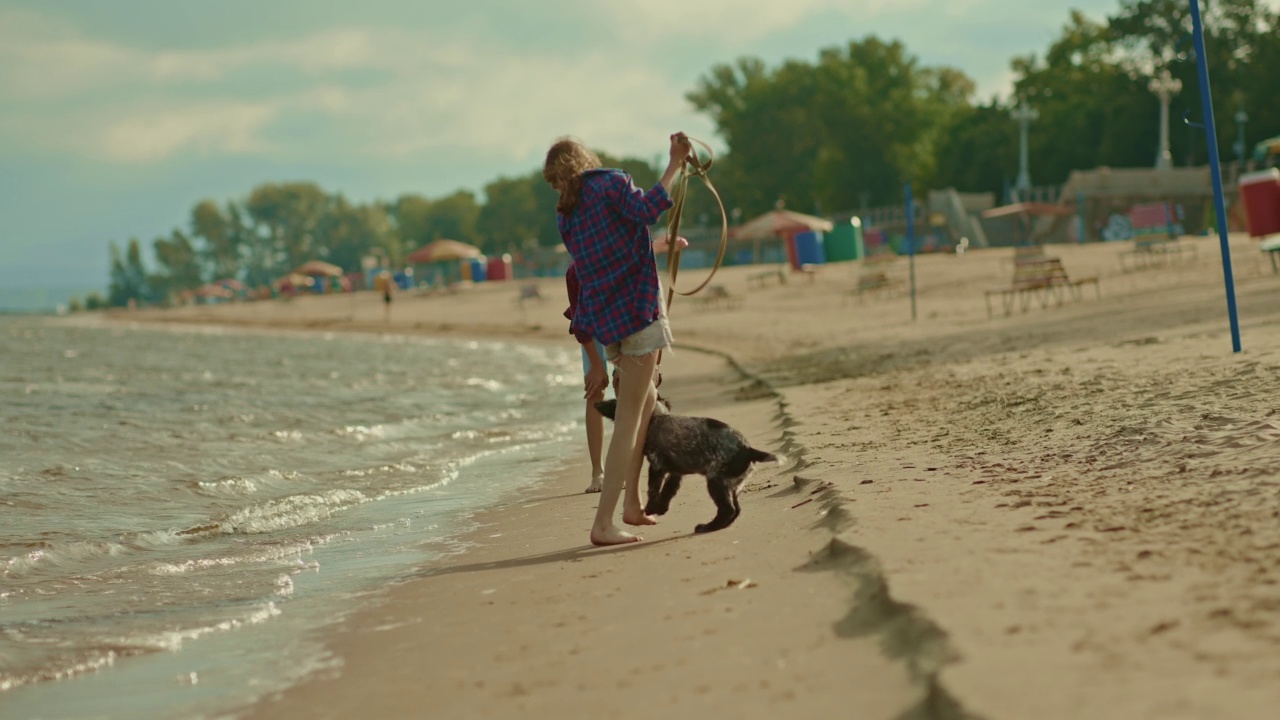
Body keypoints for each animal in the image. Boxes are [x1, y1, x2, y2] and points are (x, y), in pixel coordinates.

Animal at [593, 394, 773, 530]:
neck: (657, 417)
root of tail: (747, 449)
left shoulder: (656, 465)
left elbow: (653, 489)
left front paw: (651, 508)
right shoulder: (676, 472)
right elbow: (668, 490)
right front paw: (661, 508)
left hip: (716, 481)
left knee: (727, 509)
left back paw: (707, 527)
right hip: (732, 484)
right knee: (736, 510)